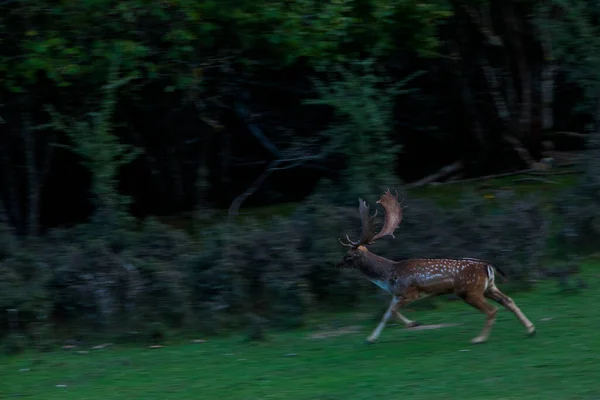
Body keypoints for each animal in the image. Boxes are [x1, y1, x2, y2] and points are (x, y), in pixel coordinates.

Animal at [336, 190, 536, 344]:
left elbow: (392, 311)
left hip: (469, 290)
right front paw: (370, 339)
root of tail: (487, 265)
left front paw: (413, 323)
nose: (338, 264)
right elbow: (386, 314)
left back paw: (479, 339)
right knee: (508, 301)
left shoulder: (409, 292)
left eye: (348, 256)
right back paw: (531, 329)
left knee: (492, 309)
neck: (388, 276)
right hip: (489, 287)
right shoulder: (396, 294)